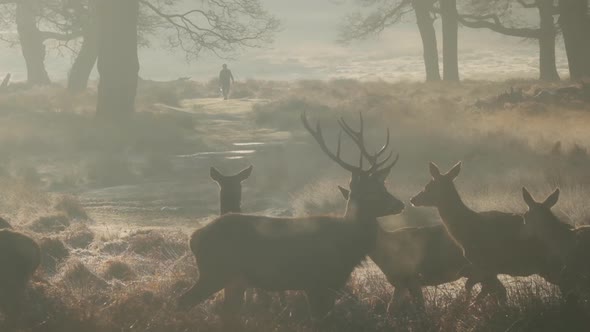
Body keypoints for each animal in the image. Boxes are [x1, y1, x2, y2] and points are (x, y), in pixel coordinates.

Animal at [178, 113, 404, 320]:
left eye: (383, 186)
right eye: (373, 191)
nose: (400, 204)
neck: (346, 245)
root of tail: (194, 238)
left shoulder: (330, 285)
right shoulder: (316, 282)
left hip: (231, 278)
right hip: (215, 271)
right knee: (184, 300)